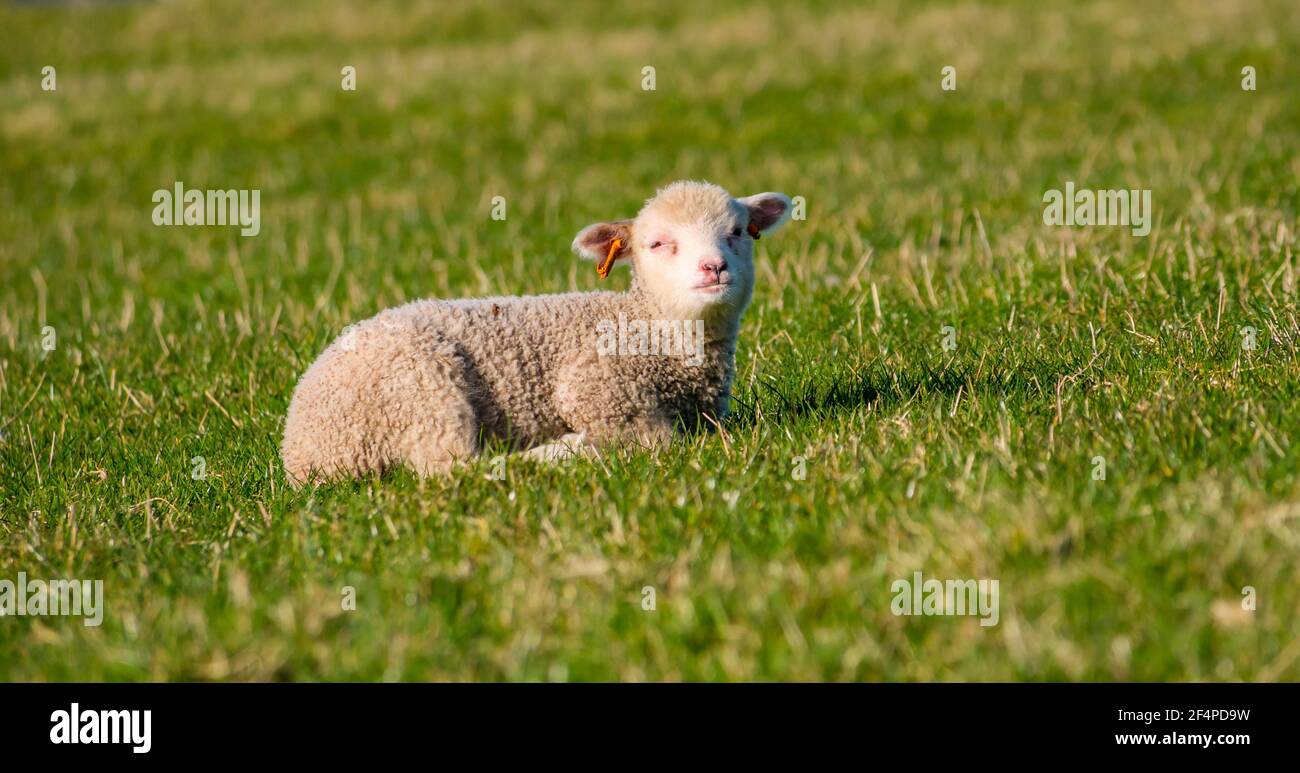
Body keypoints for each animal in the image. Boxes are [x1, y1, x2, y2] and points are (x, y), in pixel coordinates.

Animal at [280, 180, 793, 486]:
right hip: (419, 387)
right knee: (451, 468)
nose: (714, 267)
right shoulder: (594, 385)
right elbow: (659, 439)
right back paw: (560, 453)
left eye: (738, 232)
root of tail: (301, 445)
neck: (649, 326)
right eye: (658, 243)